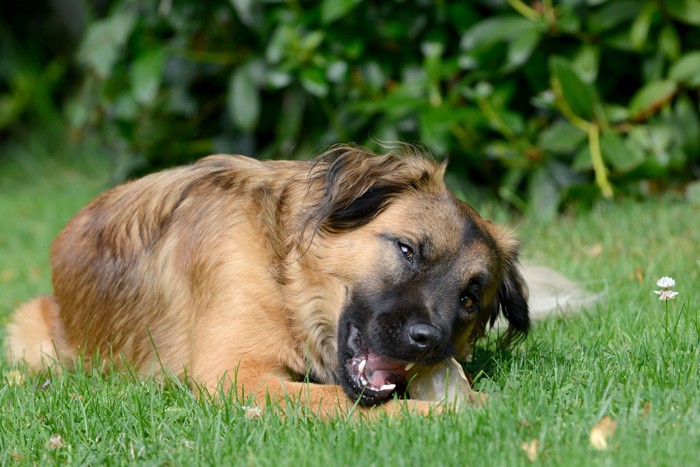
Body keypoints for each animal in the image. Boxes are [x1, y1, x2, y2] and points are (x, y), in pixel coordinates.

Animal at [6, 145, 532, 416]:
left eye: (469, 299)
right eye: (407, 250)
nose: (428, 340)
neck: (286, 280)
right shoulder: (234, 375)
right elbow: (344, 402)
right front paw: (463, 411)